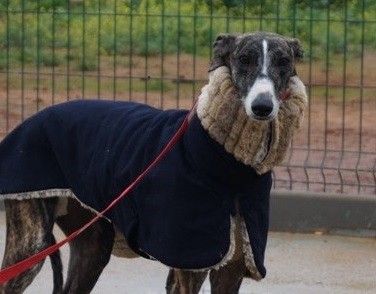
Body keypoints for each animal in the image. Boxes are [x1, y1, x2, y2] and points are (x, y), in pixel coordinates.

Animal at [0, 31, 306, 292]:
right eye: (244, 59)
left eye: (284, 61)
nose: (262, 107)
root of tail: (29, 121)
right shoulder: (191, 264)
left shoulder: (232, 267)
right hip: (31, 244)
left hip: (92, 243)